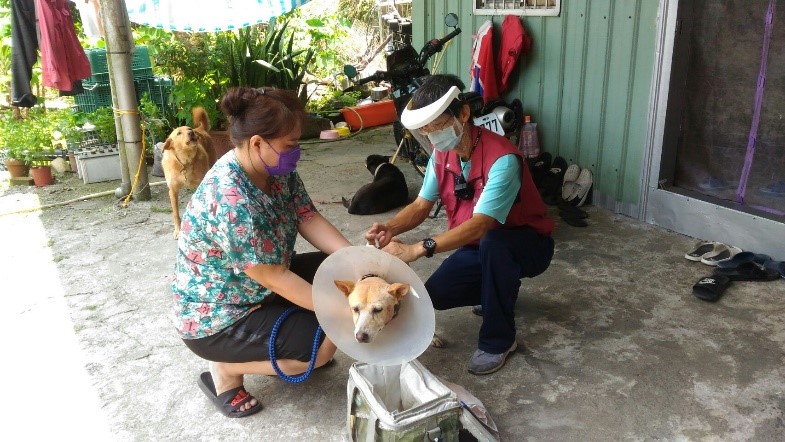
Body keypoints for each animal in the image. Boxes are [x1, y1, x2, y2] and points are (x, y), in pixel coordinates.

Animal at [162, 106, 216, 238]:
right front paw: (177, 230)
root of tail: (199, 129)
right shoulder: (172, 191)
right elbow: (176, 214)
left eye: (188, 129)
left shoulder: (200, 185)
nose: (191, 132)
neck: (185, 161)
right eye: (178, 133)